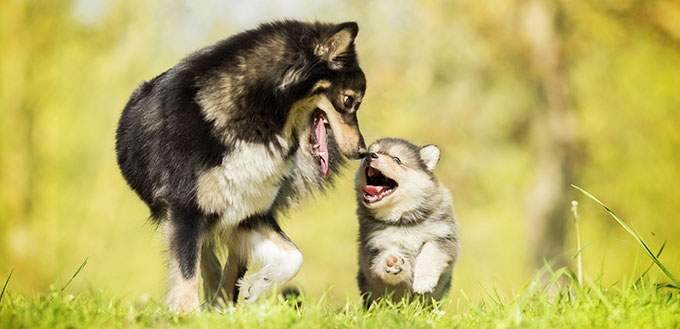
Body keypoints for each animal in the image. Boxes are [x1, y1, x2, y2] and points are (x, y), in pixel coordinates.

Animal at [115, 19, 366, 312]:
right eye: (349, 100)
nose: (362, 150)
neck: (256, 117)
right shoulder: (185, 209)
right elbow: (186, 272)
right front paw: (186, 314)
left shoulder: (248, 211)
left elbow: (293, 256)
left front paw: (254, 287)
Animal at [354, 138, 460, 304]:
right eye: (370, 153)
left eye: (396, 160)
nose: (370, 156)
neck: (402, 219)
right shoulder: (374, 246)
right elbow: (381, 264)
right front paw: (392, 264)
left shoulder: (443, 236)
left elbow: (430, 255)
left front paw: (423, 282)